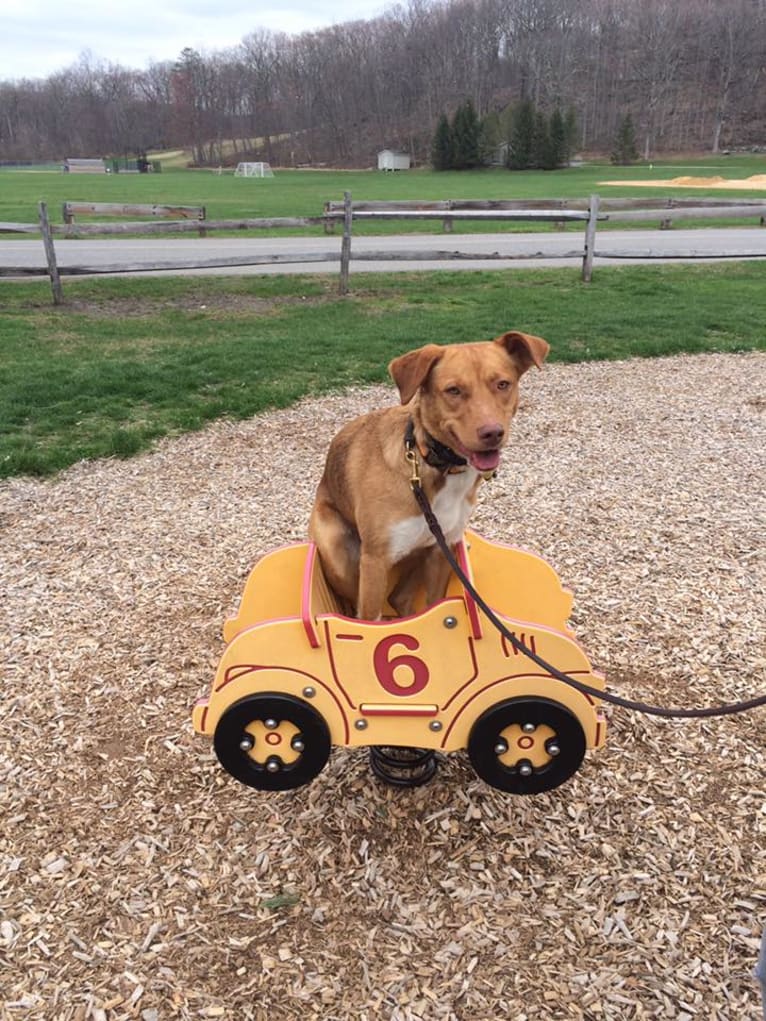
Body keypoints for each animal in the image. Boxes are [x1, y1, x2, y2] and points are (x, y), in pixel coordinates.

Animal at [308, 330, 547, 616]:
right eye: (453, 390)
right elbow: (368, 620)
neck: (435, 466)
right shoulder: (375, 561)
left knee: (399, 596)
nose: (492, 433)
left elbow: (435, 605)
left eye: (502, 384)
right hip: (336, 548)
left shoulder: (439, 549)